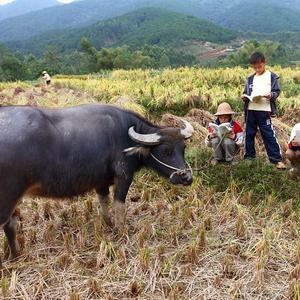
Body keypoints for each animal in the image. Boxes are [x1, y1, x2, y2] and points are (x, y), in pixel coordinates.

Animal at [0, 103, 193, 258]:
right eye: (166, 151)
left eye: (183, 148)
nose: (187, 177)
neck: (125, 136)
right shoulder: (124, 176)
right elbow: (119, 204)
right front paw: (120, 230)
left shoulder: (101, 182)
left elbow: (104, 204)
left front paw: (109, 225)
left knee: (11, 225)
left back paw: (16, 254)